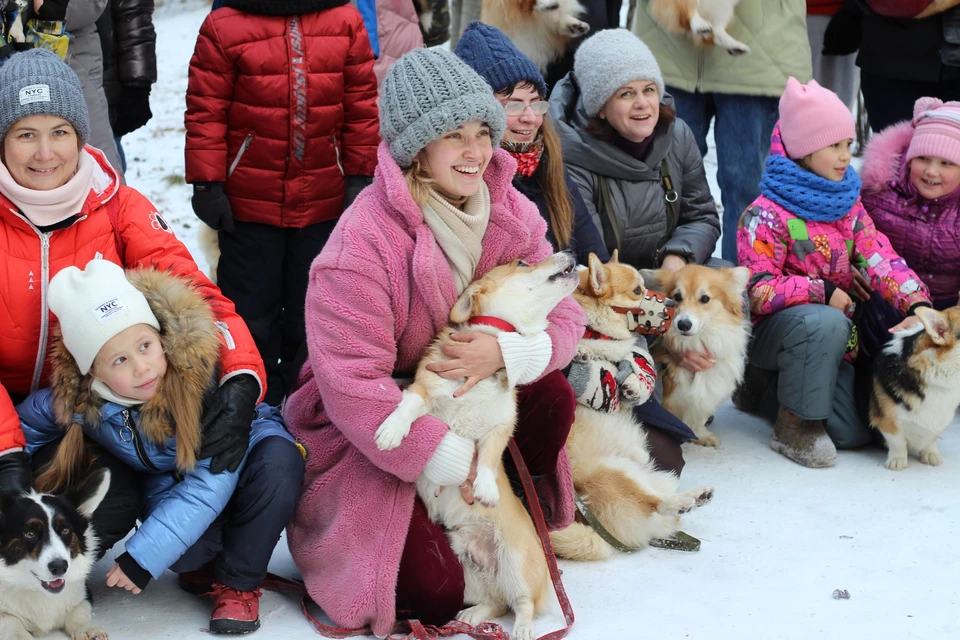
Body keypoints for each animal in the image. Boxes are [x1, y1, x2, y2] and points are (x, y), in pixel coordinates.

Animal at [0, 464, 110, 640]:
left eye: (65, 530)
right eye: (29, 533)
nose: (59, 567)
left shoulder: (82, 594)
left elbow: (79, 611)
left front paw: (87, 629)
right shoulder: (5, 616)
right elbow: (10, 621)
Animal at [374, 251, 576, 640]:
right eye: (522, 262)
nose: (570, 253)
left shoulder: (501, 425)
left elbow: (487, 456)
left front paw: (485, 488)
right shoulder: (425, 388)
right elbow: (409, 406)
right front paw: (391, 431)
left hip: (515, 561)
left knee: (521, 604)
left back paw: (521, 629)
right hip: (463, 567)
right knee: (495, 602)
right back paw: (468, 618)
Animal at [548, 252, 712, 564]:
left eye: (645, 285)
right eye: (637, 291)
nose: (671, 304)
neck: (599, 333)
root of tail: (603, 533)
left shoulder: (631, 350)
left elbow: (634, 360)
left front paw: (634, 384)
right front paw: (582, 353)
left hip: (650, 474)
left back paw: (697, 497)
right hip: (616, 472)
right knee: (654, 503)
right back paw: (685, 500)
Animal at [652, 262, 752, 448]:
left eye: (705, 298)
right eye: (677, 297)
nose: (683, 324)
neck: (697, 342)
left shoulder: (704, 392)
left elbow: (698, 416)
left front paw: (700, 436)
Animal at [872, 304, 960, 470]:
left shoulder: (939, 420)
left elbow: (931, 440)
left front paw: (931, 455)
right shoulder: (888, 421)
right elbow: (897, 442)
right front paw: (897, 460)